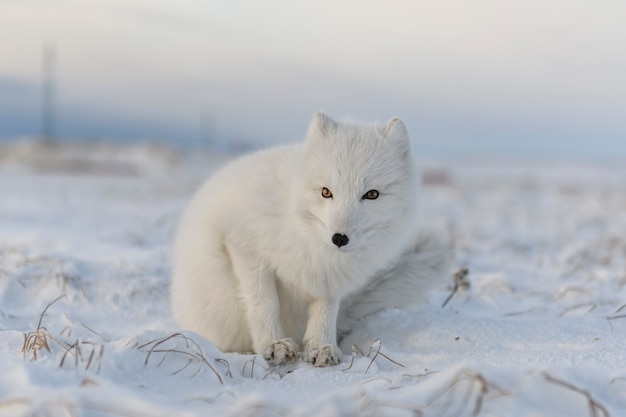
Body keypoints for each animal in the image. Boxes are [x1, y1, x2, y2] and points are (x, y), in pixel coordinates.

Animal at [172, 112, 448, 366]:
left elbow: (325, 311)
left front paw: (321, 347)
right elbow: (264, 303)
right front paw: (273, 344)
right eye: (326, 192)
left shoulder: (329, 279)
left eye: (372, 194)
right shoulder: (243, 245)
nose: (339, 238)